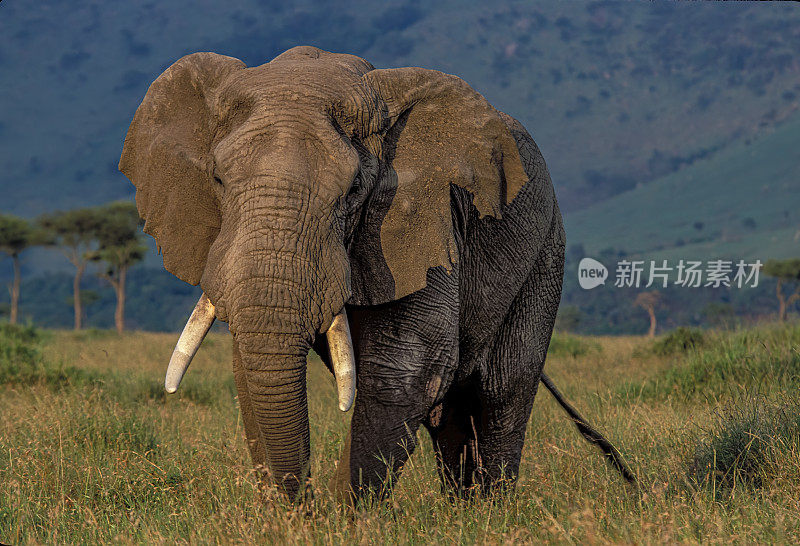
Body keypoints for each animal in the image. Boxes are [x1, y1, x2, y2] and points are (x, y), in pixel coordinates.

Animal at [119, 44, 636, 500]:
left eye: (352, 192)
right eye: (218, 180)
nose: (304, 508)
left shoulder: (425, 220)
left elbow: (404, 372)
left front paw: (338, 521)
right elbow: (250, 370)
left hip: (546, 248)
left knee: (501, 393)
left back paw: (491, 515)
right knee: (453, 415)